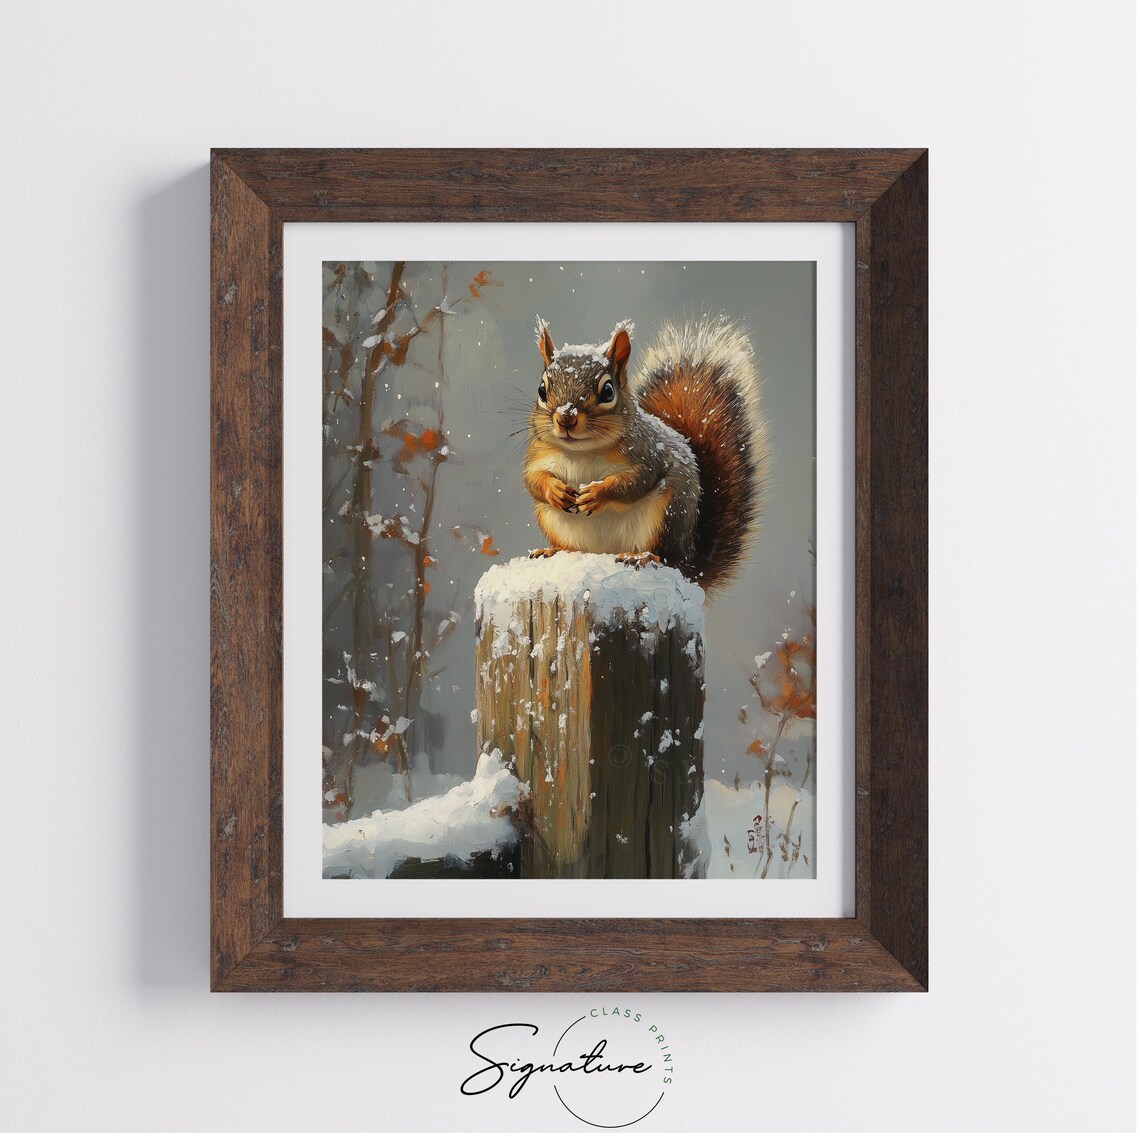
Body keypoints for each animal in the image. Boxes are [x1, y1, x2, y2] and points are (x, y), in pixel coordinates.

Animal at [523, 315, 769, 594]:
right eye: (542, 390)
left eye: (608, 391)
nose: (566, 418)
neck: (582, 452)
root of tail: (688, 561)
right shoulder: (537, 455)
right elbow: (533, 480)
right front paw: (554, 491)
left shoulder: (646, 455)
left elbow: (635, 482)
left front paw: (597, 493)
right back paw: (552, 551)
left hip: (666, 516)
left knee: (665, 557)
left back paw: (640, 556)